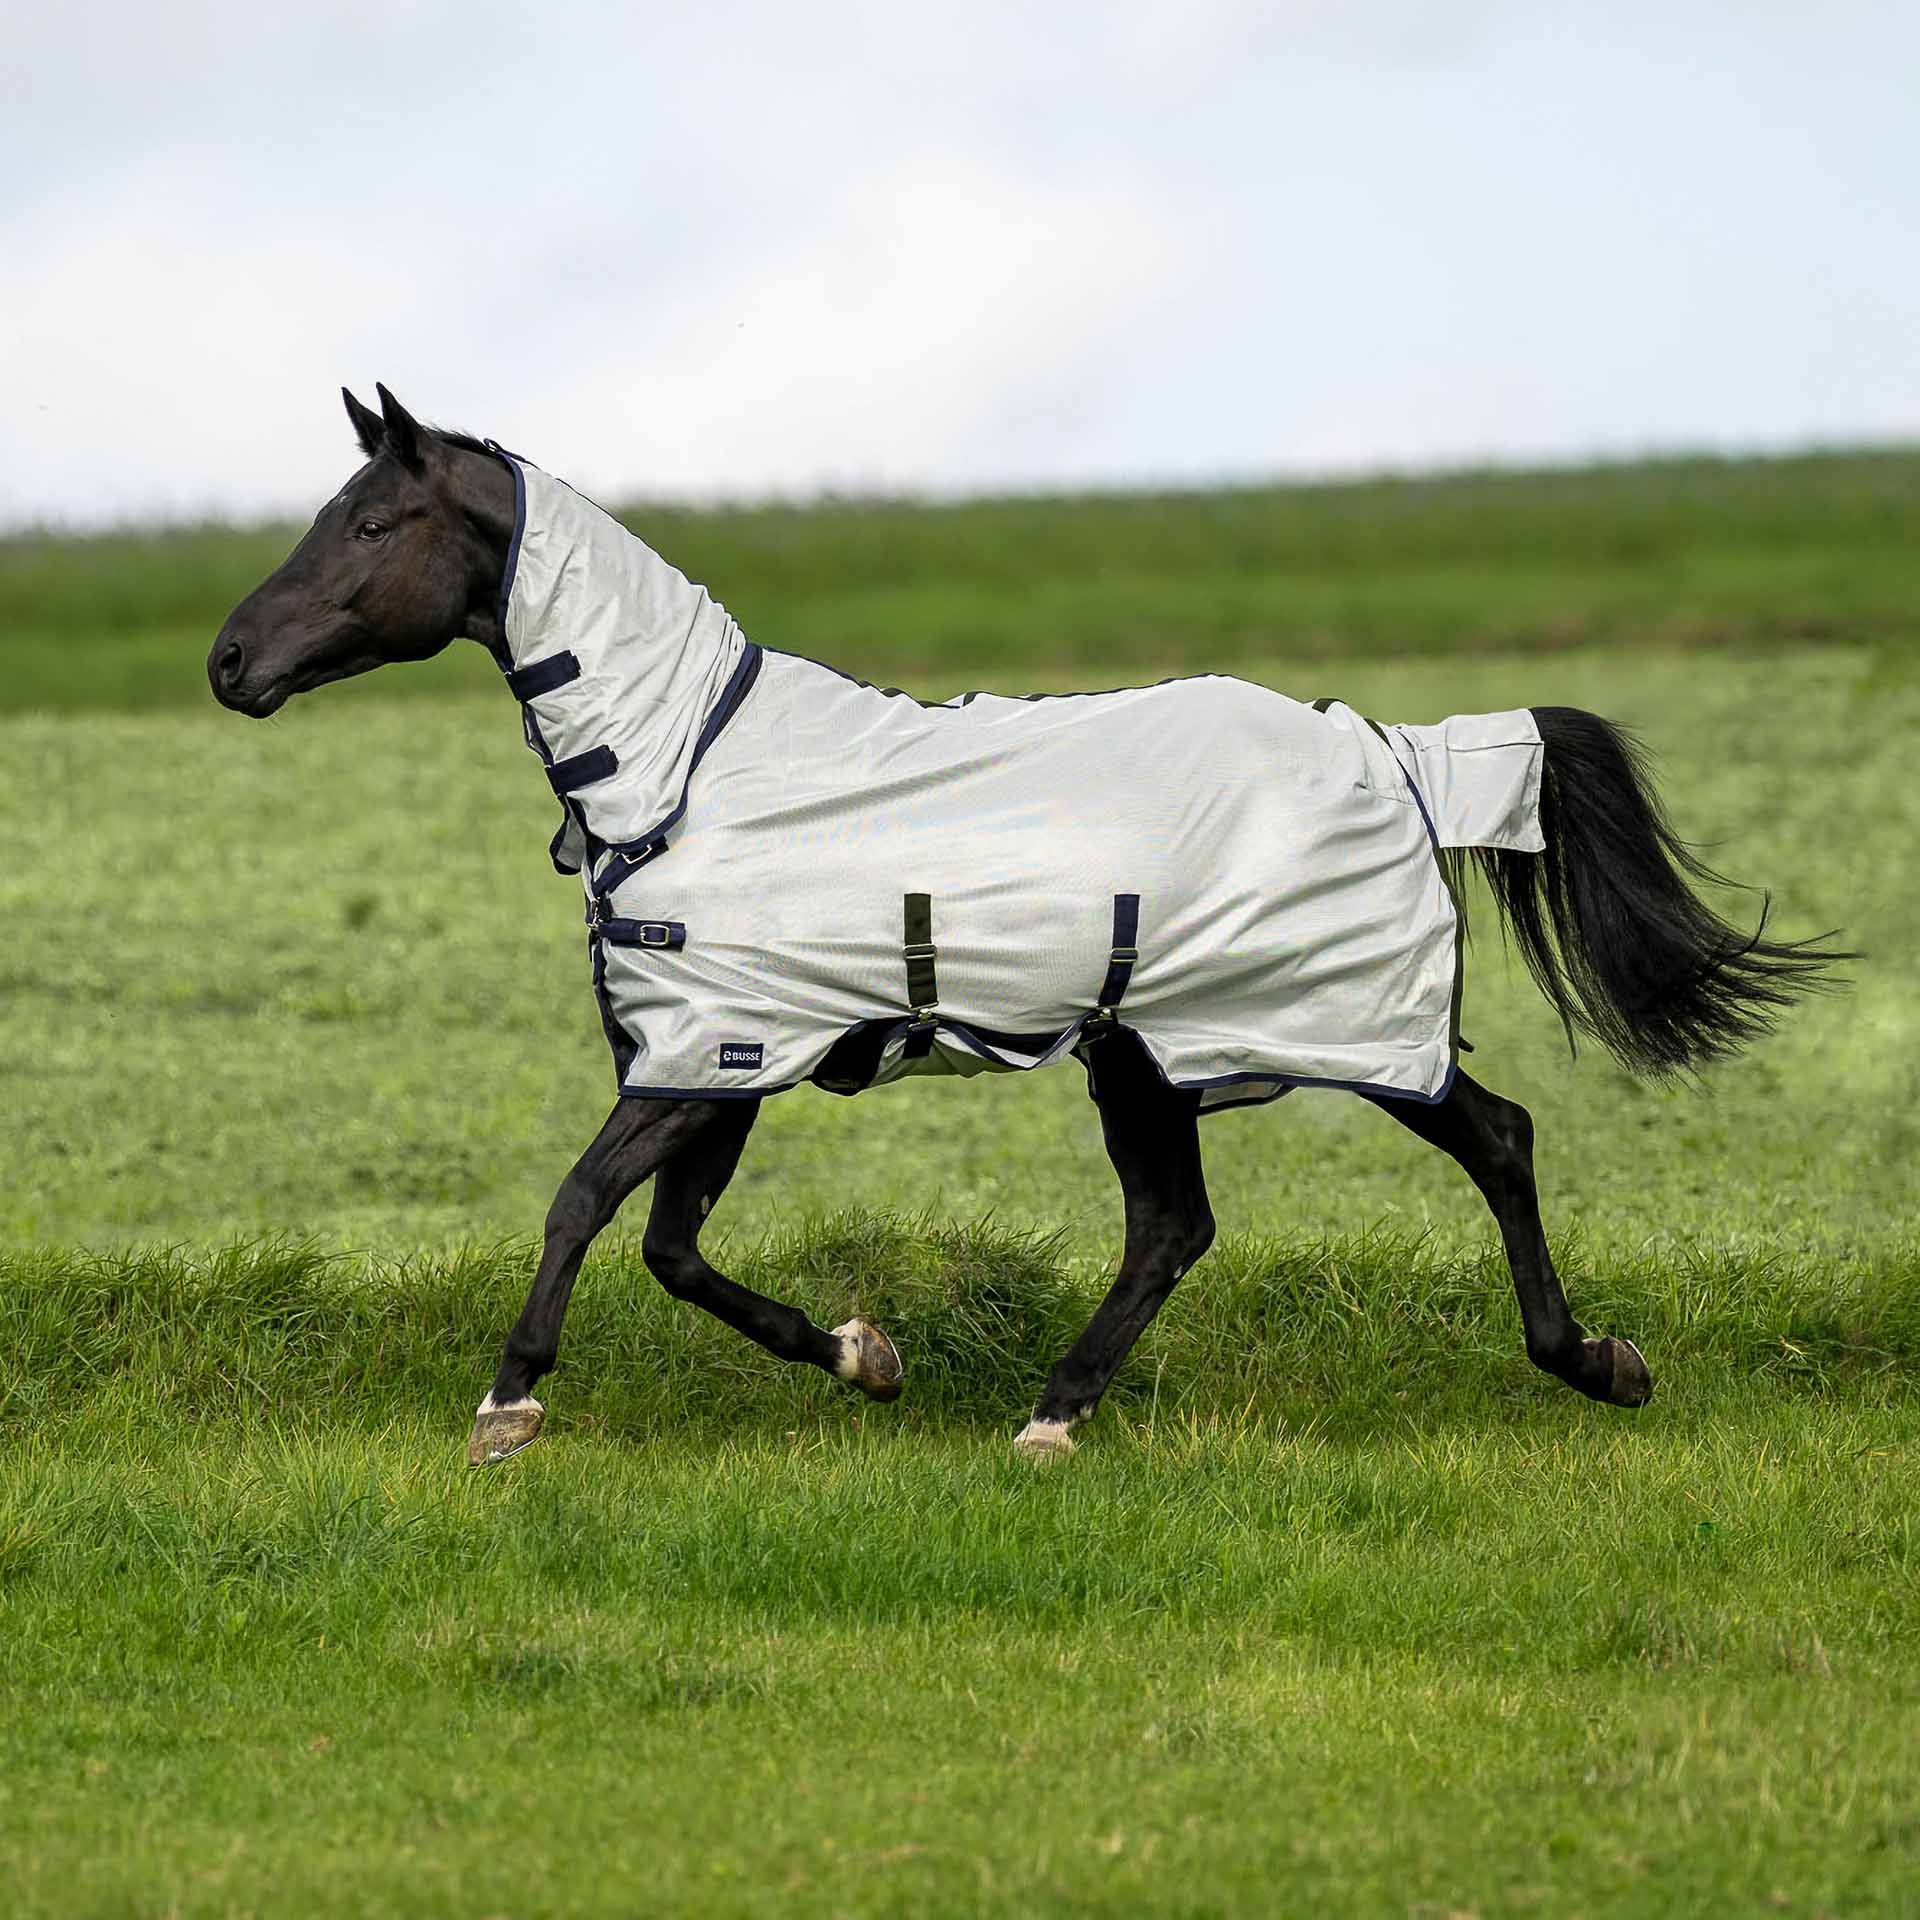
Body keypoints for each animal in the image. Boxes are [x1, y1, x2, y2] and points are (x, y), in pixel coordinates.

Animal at [208, 384, 1842, 1464]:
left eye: (371, 518)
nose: (230, 661)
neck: (682, 768)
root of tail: (1388, 743)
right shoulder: (722, 1061)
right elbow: (671, 1248)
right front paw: (866, 1357)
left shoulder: (707, 1053)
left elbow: (579, 1207)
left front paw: (508, 1404)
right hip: (1147, 1054)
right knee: (1173, 1226)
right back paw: (1051, 1417)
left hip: (1342, 1030)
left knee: (1492, 1138)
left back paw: (1600, 1366)